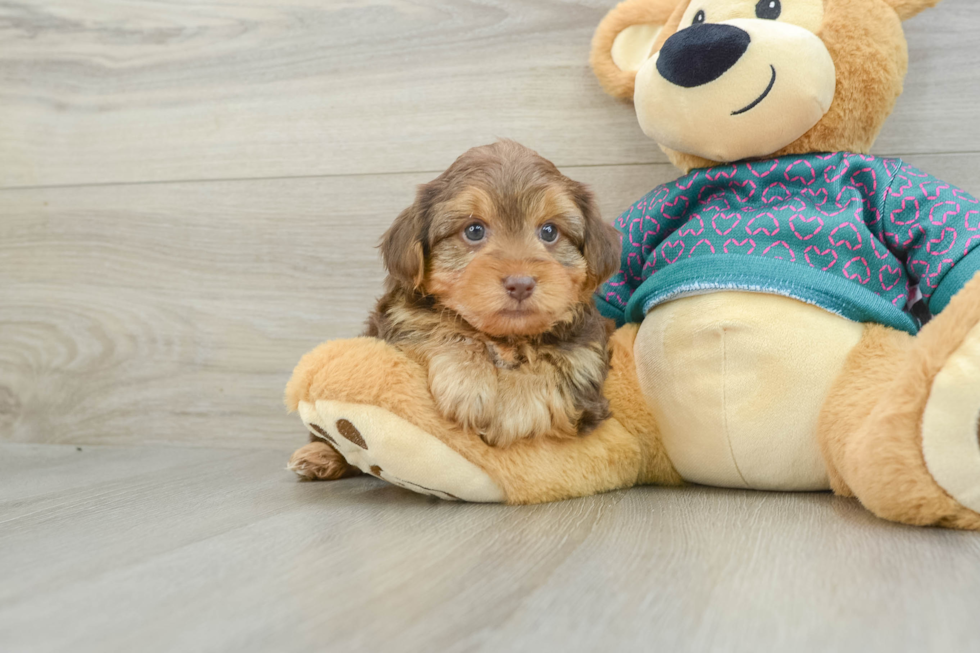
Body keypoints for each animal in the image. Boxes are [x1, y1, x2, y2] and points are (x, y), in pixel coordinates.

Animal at [288, 141, 620, 478]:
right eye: (474, 230)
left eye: (550, 232)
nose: (521, 283)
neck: (505, 337)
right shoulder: (403, 317)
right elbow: (442, 329)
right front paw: (469, 383)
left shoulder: (585, 354)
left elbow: (551, 367)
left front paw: (516, 410)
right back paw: (321, 454)